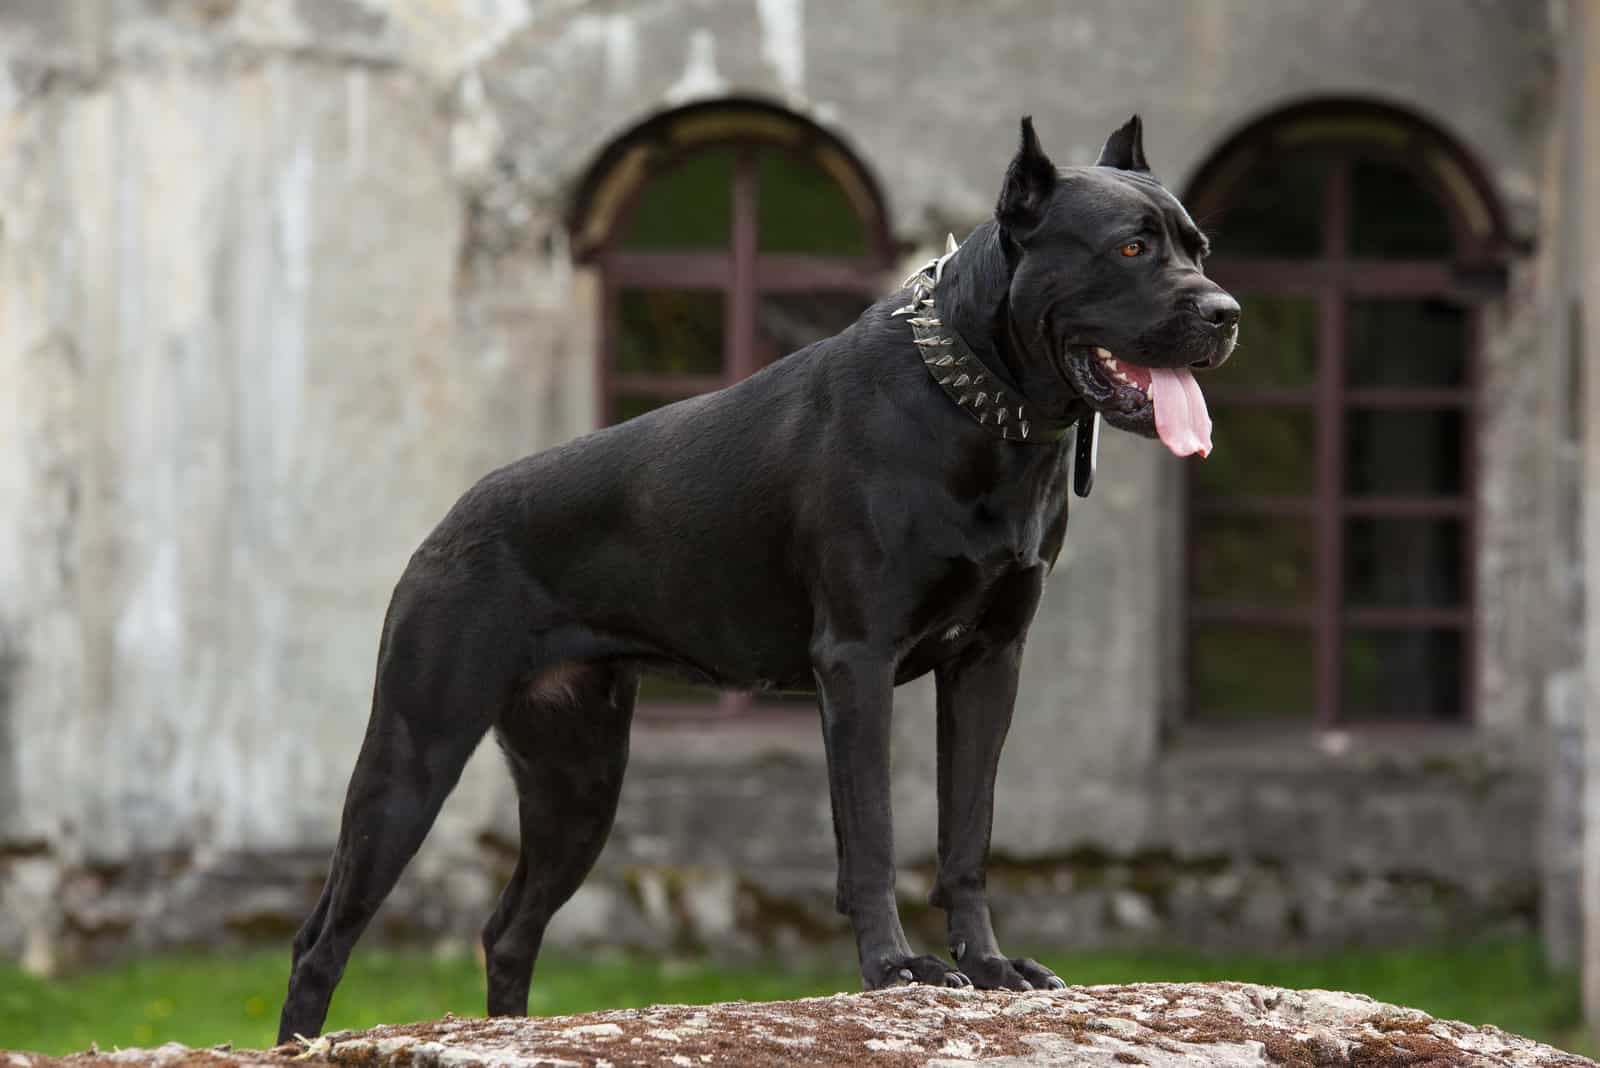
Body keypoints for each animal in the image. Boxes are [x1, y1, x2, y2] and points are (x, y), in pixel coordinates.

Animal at [281, 116, 1241, 1042]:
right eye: (1130, 247)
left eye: (1199, 245)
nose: (1227, 312)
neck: (981, 407)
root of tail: (448, 521)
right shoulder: (857, 661)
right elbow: (872, 832)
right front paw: (895, 970)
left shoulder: (990, 662)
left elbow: (967, 833)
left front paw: (992, 966)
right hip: (413, 757)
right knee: (321, 940)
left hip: (578, 780)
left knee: (509, 929)